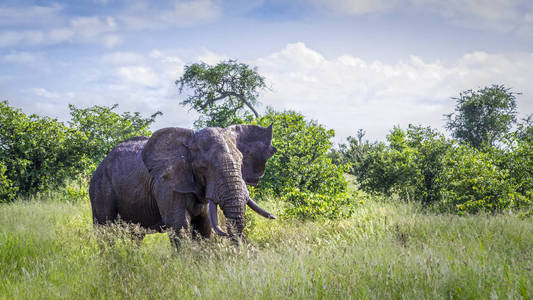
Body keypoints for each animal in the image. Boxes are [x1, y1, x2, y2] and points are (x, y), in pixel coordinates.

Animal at [88, 124, 276, 244]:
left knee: (135, 237)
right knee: (105, 230)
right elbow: (179, 224)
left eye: (241, 161)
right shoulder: (167, 184)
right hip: (100, 188)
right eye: (203, 166)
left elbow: (204, 227)